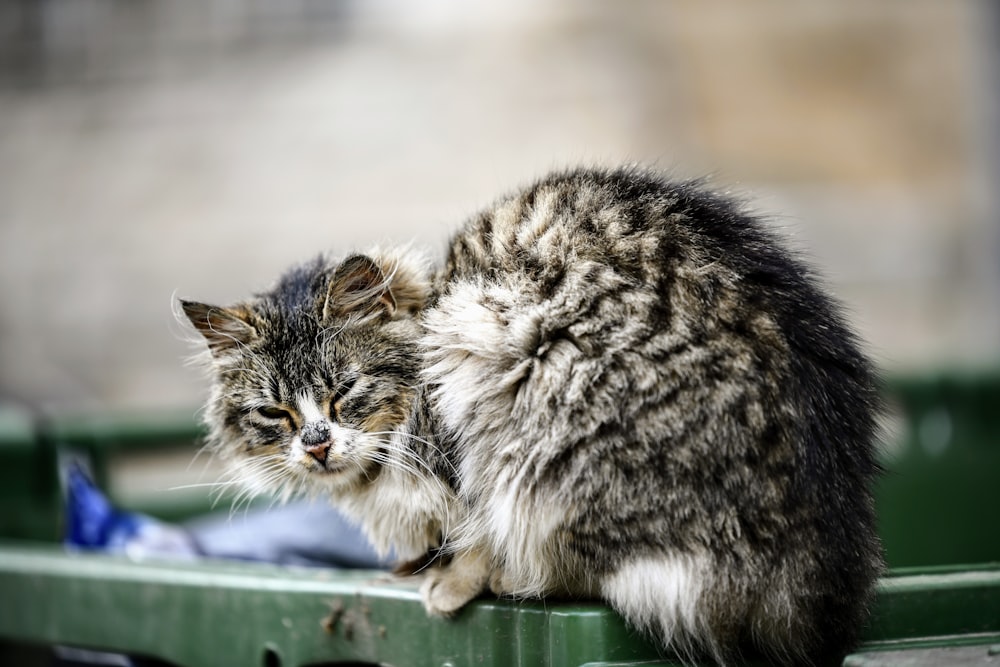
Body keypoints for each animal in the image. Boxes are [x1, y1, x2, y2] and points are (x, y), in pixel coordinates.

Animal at [180, 164, 884, 664]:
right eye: (274, 413)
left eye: (344, 391)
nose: (317, 444)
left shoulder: (466, 439)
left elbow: (475, 535)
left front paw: (448, 583)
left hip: (546, 422)